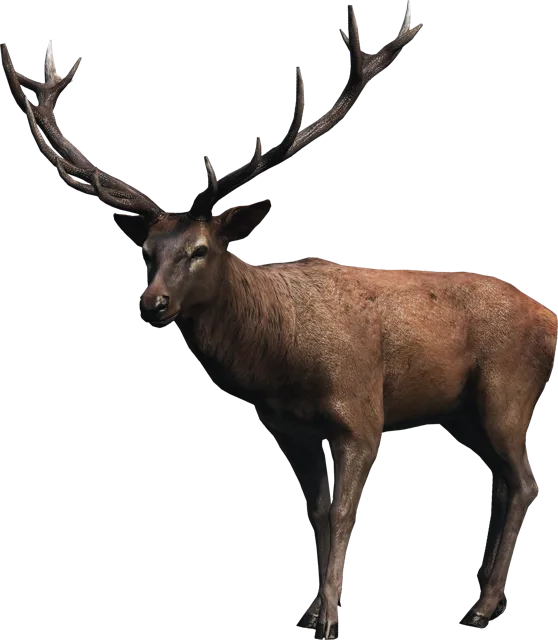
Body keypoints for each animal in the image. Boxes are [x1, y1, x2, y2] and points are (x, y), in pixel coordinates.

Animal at [3, 3, 556, 637]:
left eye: (199, 249)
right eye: (145, 251)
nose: (153, 303)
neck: (282, 361)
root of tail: (550, 318)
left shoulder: (361, 414)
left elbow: (341, 512)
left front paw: (330, 617)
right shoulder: (293, 430)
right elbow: (315, 511)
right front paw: (311, 607)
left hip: (507, 393)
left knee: (526, 482)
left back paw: (483, 608)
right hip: (465, 413)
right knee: (506, 484)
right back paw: (488, 602)